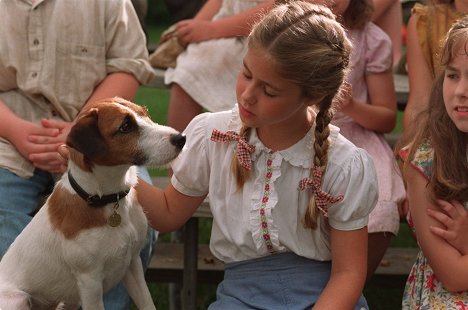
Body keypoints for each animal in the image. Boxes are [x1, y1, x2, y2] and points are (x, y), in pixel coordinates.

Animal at [0, 96, 186, 308]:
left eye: (145, 113)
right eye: (125, 126)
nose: (181, 138)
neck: (107, 200)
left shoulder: (133, 263)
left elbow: (147, 303)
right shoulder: (90, 282)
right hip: (18, 299)